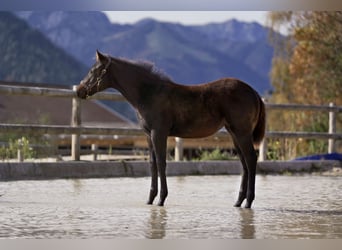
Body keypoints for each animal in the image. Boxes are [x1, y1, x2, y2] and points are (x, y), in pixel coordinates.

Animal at [76, 49, 266, 208]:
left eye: (93, 71)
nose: (79, 90)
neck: (149, 93)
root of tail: (254, 92)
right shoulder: (148, 135)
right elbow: (152, 163)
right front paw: (150, 199)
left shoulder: (159, 133)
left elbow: (161, 162)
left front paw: (161, 199)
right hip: (234, 133)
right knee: (244, 162)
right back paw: (239, 201)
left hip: (242, 132)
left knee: (251, 159)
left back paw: (248, 202)